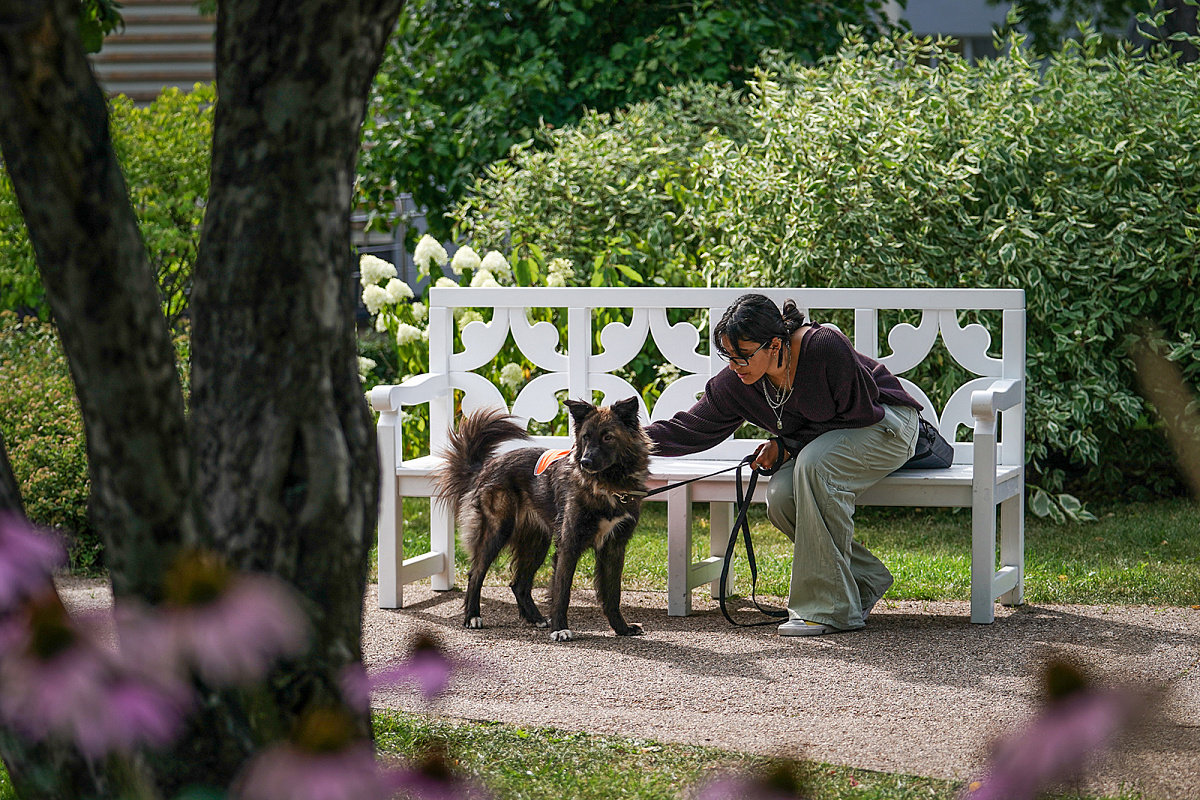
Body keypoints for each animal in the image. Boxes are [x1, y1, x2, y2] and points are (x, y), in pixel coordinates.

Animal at [436, 398, 652, 642]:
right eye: (586, 437)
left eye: (608, 437)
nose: (585, 461)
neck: (608, 485)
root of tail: (486, 466)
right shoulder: (568, 546)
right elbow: (562, 592)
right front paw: (560, 629)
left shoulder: (614, 548)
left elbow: (613, 594)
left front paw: (622, 629)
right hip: (497, 532)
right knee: (476, 574)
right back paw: (472, 617)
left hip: (536, 543)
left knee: (518, 583)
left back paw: (535, 618)